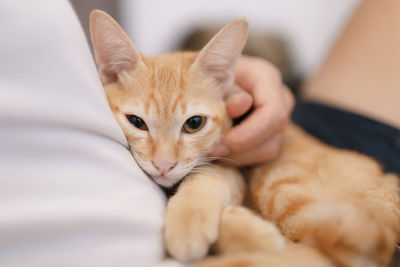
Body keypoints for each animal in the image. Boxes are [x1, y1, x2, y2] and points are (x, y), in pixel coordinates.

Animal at [90, 9, 400, 267]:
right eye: (137, 122)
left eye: (194, 124)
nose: (163, 165)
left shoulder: (232, 165)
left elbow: (206, 176)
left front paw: (188, 219)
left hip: (281, 183)